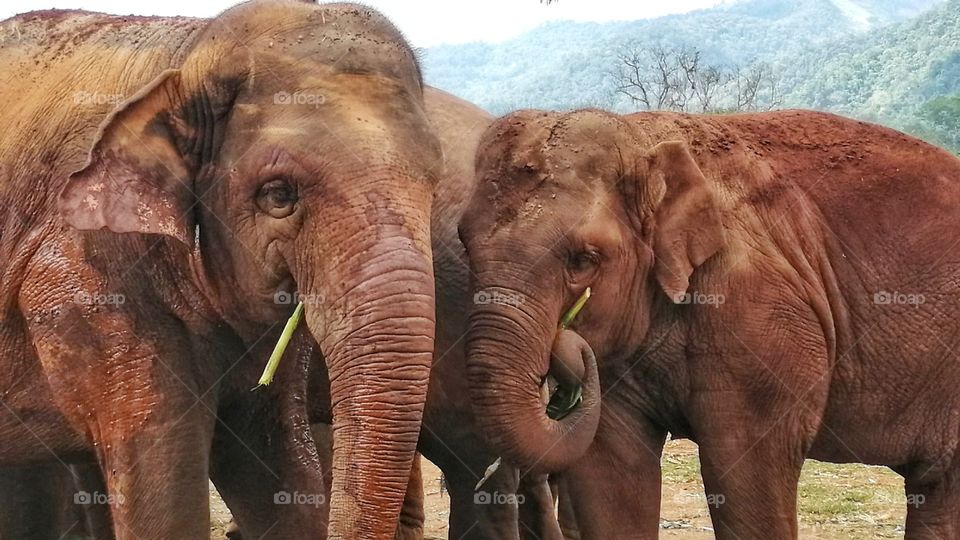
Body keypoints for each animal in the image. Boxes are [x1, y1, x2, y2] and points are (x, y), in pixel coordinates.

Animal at [0, 1, 445, 538]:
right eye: (279, 194)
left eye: (435, 183)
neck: (184, 59)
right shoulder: (88, 288)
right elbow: (165, 506)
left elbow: (278, 477)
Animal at [458, 107, 960, 539]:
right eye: (464, 245)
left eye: (584, 259)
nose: (569, 346)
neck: (643, 137)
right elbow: (611, 470)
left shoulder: (761, 315)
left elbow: (743, 469)